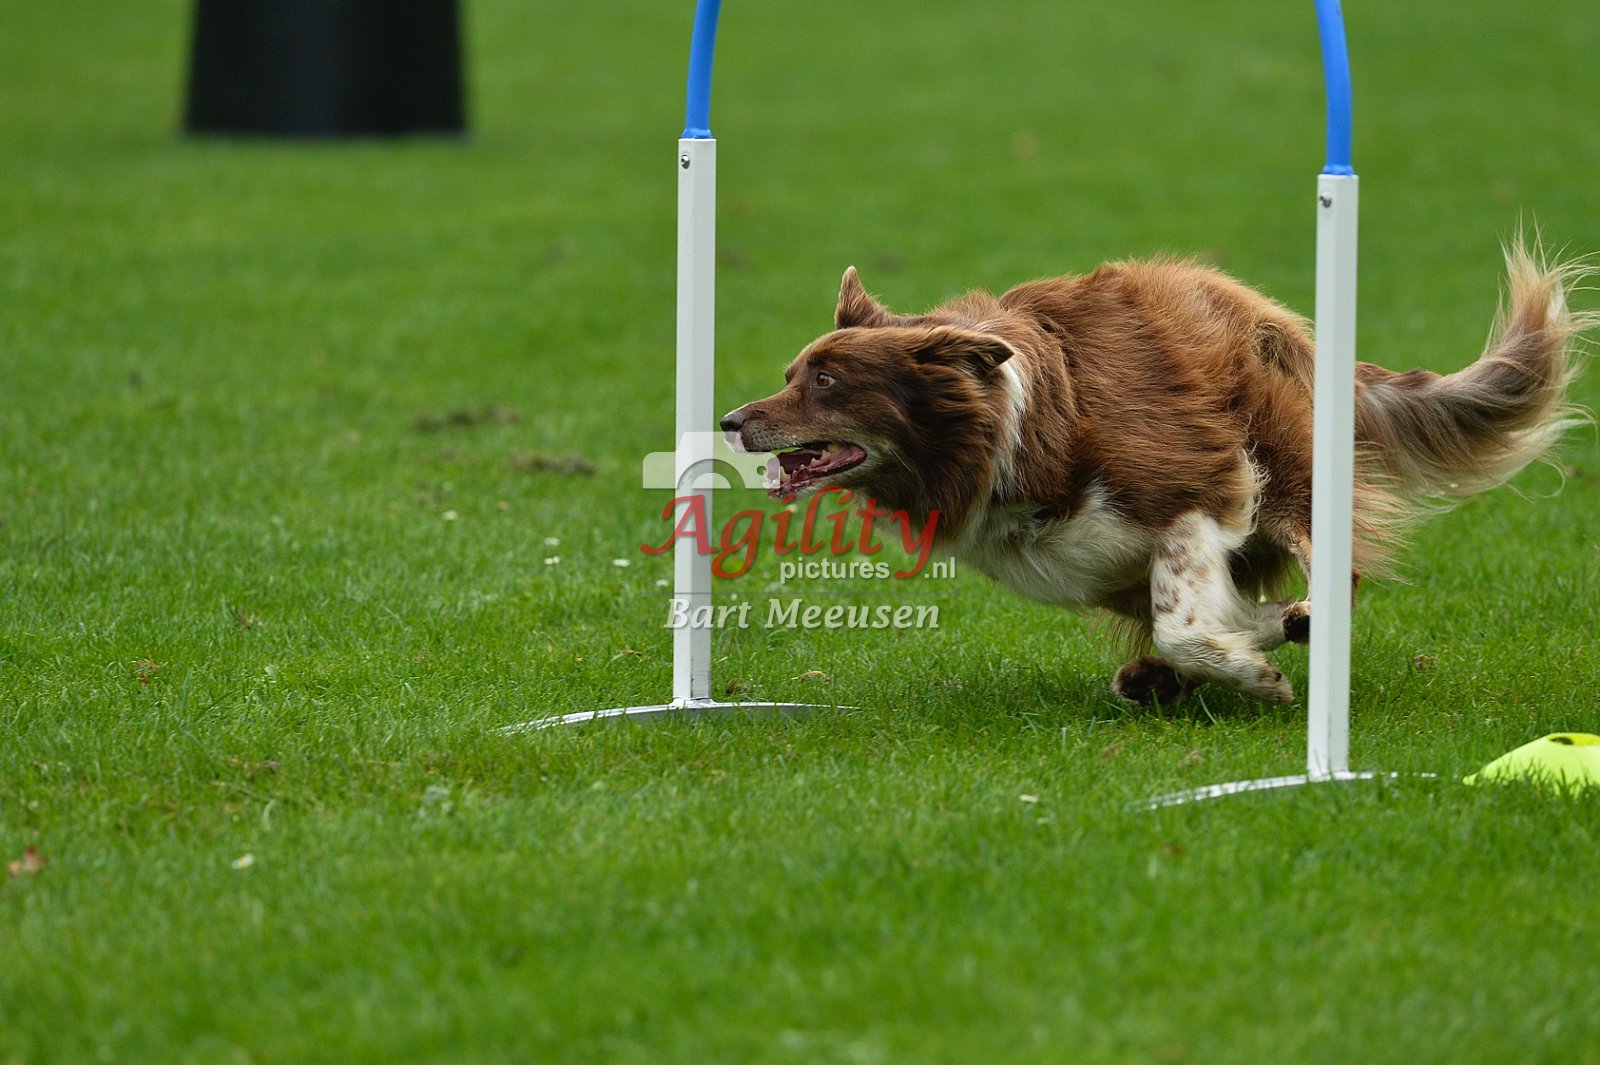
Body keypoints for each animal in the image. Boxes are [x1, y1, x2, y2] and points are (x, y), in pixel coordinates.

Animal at [720, 238, 1593, 706]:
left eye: (826, 381)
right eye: (794, 372)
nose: (730, 421)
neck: (1002, 432)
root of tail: (1270, 314)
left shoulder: (1198, 489)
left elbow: (1187, 624)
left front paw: (1259, 676)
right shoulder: (1106, 560)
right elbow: (1202, 620)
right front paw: (1245, 655)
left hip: (1284, 462)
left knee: (1329, 565)